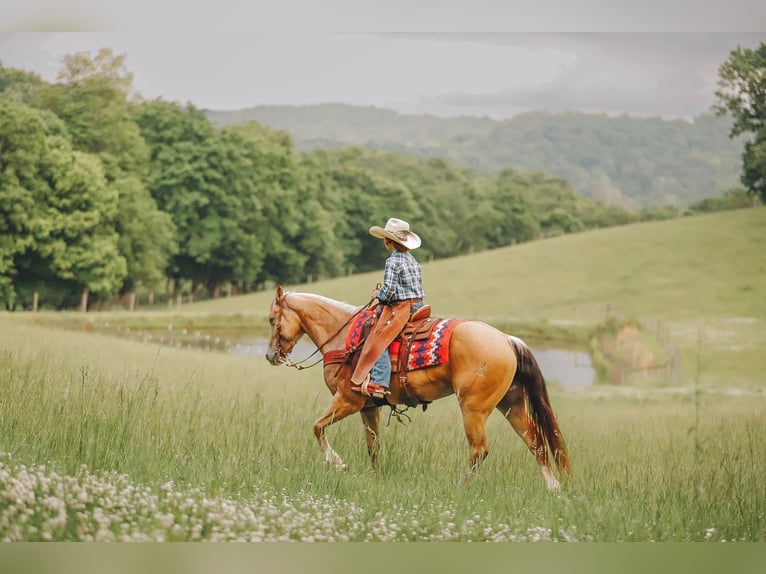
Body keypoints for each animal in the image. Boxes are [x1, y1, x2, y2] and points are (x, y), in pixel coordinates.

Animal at [264, 286, 568, 492]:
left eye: (271, 319)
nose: (270, 355)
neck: (344, 337)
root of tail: (506, 339)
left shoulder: (348, 400)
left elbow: (317, 427)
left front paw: (338, 463)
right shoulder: (368, 407)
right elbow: (373, 446)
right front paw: (376, 480)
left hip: (474, 409)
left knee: (479, 449)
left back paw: (460, 487)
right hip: (511, 404)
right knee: (536, 443)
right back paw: (554, 490)